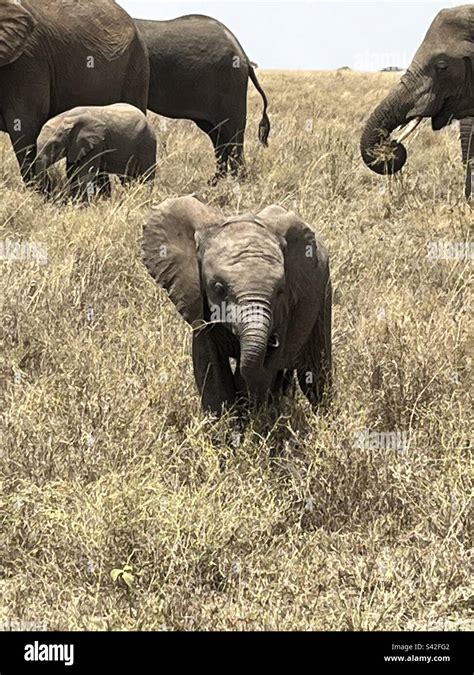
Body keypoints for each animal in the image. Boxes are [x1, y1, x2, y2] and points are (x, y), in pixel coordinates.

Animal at [135, 15, 272, 184]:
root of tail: (244, 56)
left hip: (229, 86)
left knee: (232, 136)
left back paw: (237, 181)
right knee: (218, 136)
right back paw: (214, 182)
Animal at [143, 195, 332, 418]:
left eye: (280, 291)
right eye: (218, 287)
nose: (273, 341)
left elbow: (256, 373)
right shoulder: (197, 300)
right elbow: (210, 365)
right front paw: (224, 423)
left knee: (315, 372)